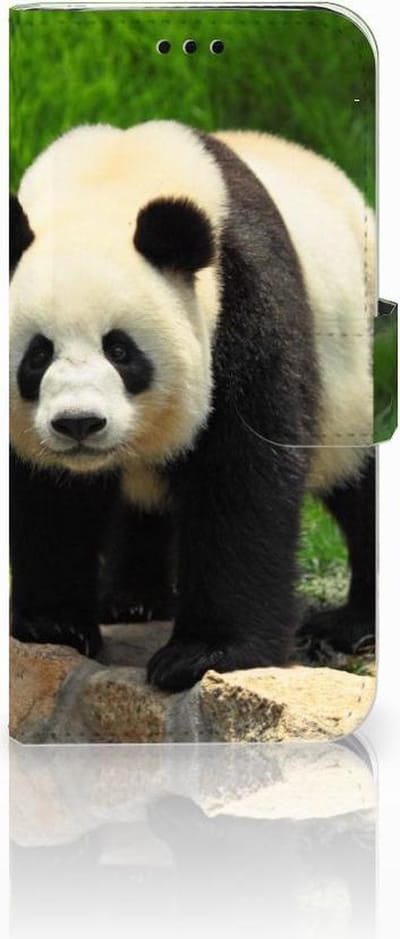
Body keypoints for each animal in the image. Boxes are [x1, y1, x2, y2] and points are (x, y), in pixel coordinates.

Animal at [9, 120, 376, 692]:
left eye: (120, 350)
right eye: (38, 355)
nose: (79, 424)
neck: (109, 183)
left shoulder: (242, 300)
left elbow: (242, 476)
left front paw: (204, 654)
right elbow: (49, 494)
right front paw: (55, 625)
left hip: (355, 383)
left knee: (360, 483)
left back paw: (350, 625)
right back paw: (132, 599)